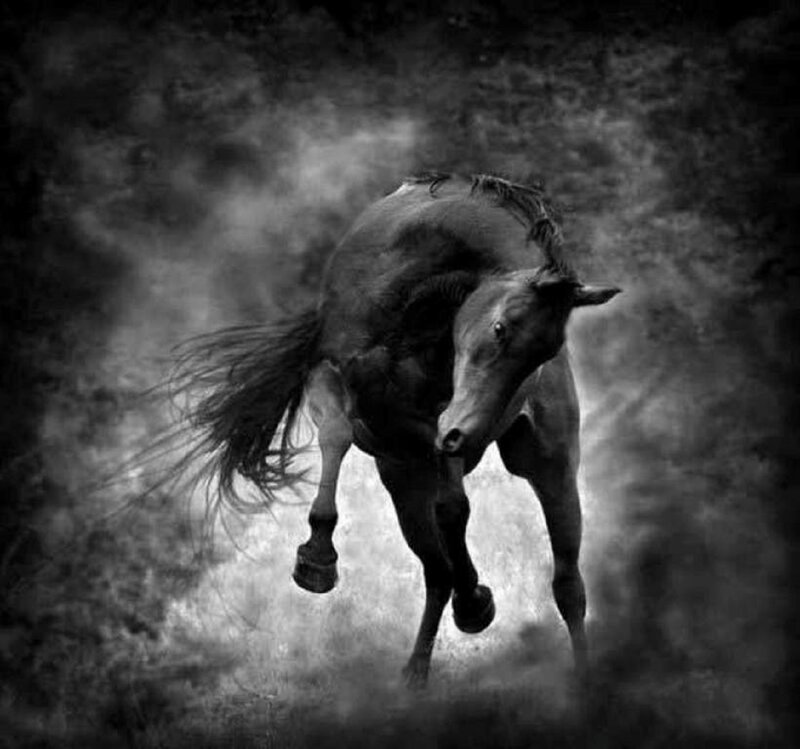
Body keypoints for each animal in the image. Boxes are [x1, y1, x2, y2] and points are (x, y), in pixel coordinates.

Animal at [179, 172, 620, 687]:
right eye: (500, 328)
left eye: (545, 353)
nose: (463, 435)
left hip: (545, 465)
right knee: (438, 571)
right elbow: (337, 435)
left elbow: (455, 508)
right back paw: (418, 667)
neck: (416, 301)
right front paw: (316, 560)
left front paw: (476, 601)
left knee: (565, 583)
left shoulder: (440, 425)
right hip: (404, 480)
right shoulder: (332, 375)